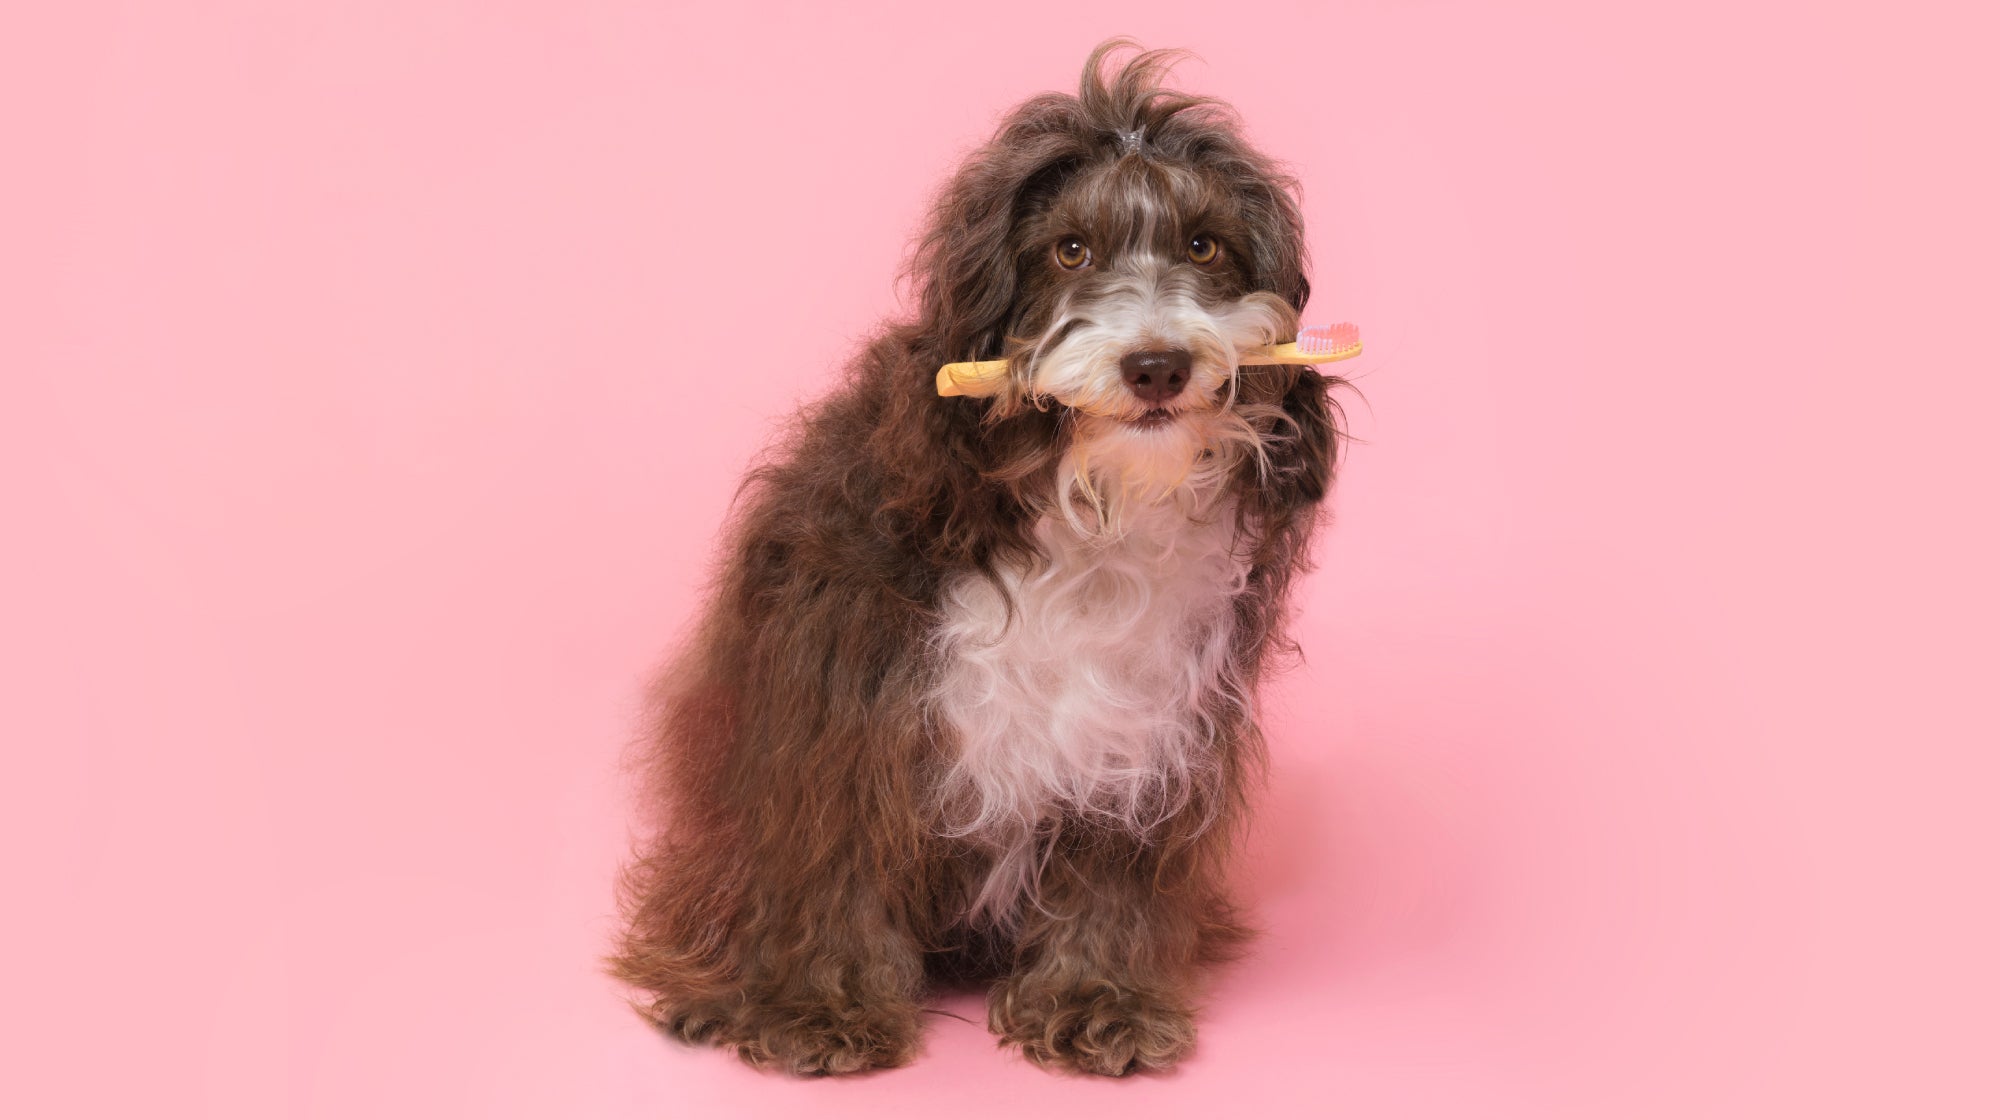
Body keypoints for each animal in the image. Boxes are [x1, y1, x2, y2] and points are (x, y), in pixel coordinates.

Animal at [608, 41, 1344, 1080]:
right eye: (1070, 251)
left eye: (1204, 246)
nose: (1156, 366)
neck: (1085, 510)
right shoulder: (846, 694)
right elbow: (832, 850)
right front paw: (819, 1009)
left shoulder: (1146, 728)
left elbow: (1112, 870)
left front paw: (1097, 1000)